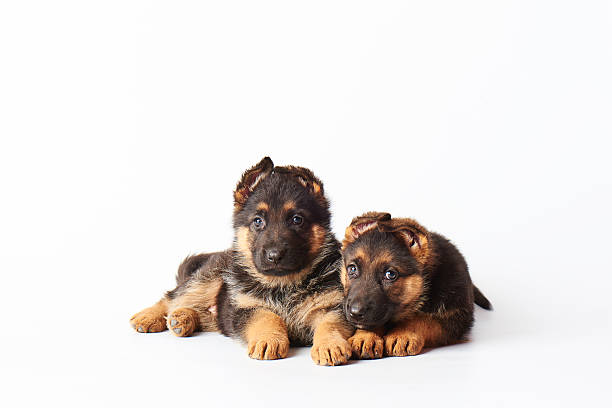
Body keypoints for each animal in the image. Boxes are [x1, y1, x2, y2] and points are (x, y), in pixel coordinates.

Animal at [133, 157, 354, 366]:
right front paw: (269, 339)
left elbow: (330, 324)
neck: (283, 284)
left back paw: (182, 319)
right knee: (172, 297)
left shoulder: (332, 307)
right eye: (258, 221)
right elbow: (267, 317)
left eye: (297, 219)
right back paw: (149, 317)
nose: (274, 256)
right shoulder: (245, 308)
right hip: (207, 279)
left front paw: (329, 345)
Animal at [340, 212, 492, 358]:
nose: (355, 313)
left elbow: (423, 320)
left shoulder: (457, 316)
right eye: (352, 269)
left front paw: (402, 334)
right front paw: (365, 337)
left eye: (390, 274)